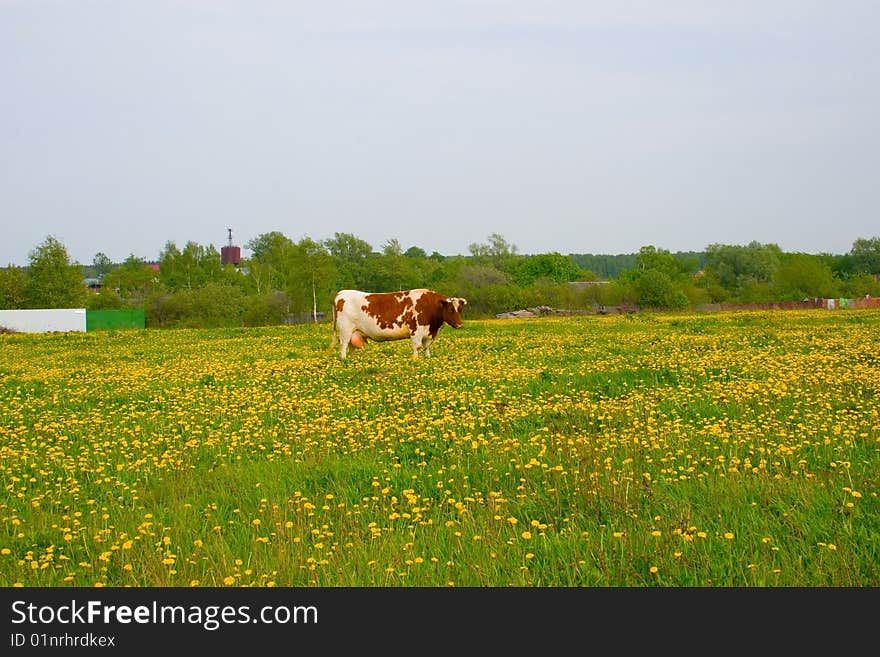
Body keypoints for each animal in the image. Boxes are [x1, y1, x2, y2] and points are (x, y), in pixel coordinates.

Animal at [330, 288, 468, 358]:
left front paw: (427, 358)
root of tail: (341, 293)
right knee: (343, 344)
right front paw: (415, 359)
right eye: (450, 309)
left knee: (351, 345)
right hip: (345, 330)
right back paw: (344, 359)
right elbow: (417, 347)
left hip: (353, 332)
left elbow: (426, 347)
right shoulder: (416, 331)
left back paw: (353, 360)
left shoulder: (429, 333)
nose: (459, 324)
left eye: (460, 309)